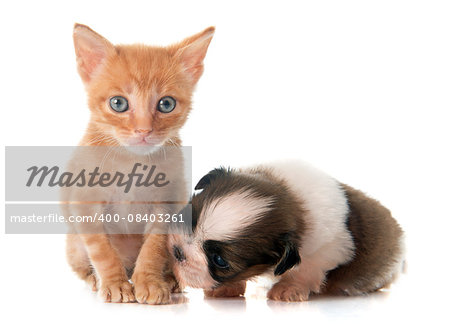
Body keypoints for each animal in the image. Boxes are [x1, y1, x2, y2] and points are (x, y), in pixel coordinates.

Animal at [66, 24, 214, 302]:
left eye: (166, 104)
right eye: (118, 103)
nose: (144, 130)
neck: (131, 163)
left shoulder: (167, 203)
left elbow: (154, 248)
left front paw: (150, 282)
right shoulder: (85, 203)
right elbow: (102, 250)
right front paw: (115, 284)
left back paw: (170, 280)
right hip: (73, 244)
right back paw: (95, 279)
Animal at [168, 160, 404, 302]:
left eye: (219, 260)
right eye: (190, 218)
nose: (178, 252)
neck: (290, 196)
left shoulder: (328, 250)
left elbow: (306, 270)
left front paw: (289, 288)